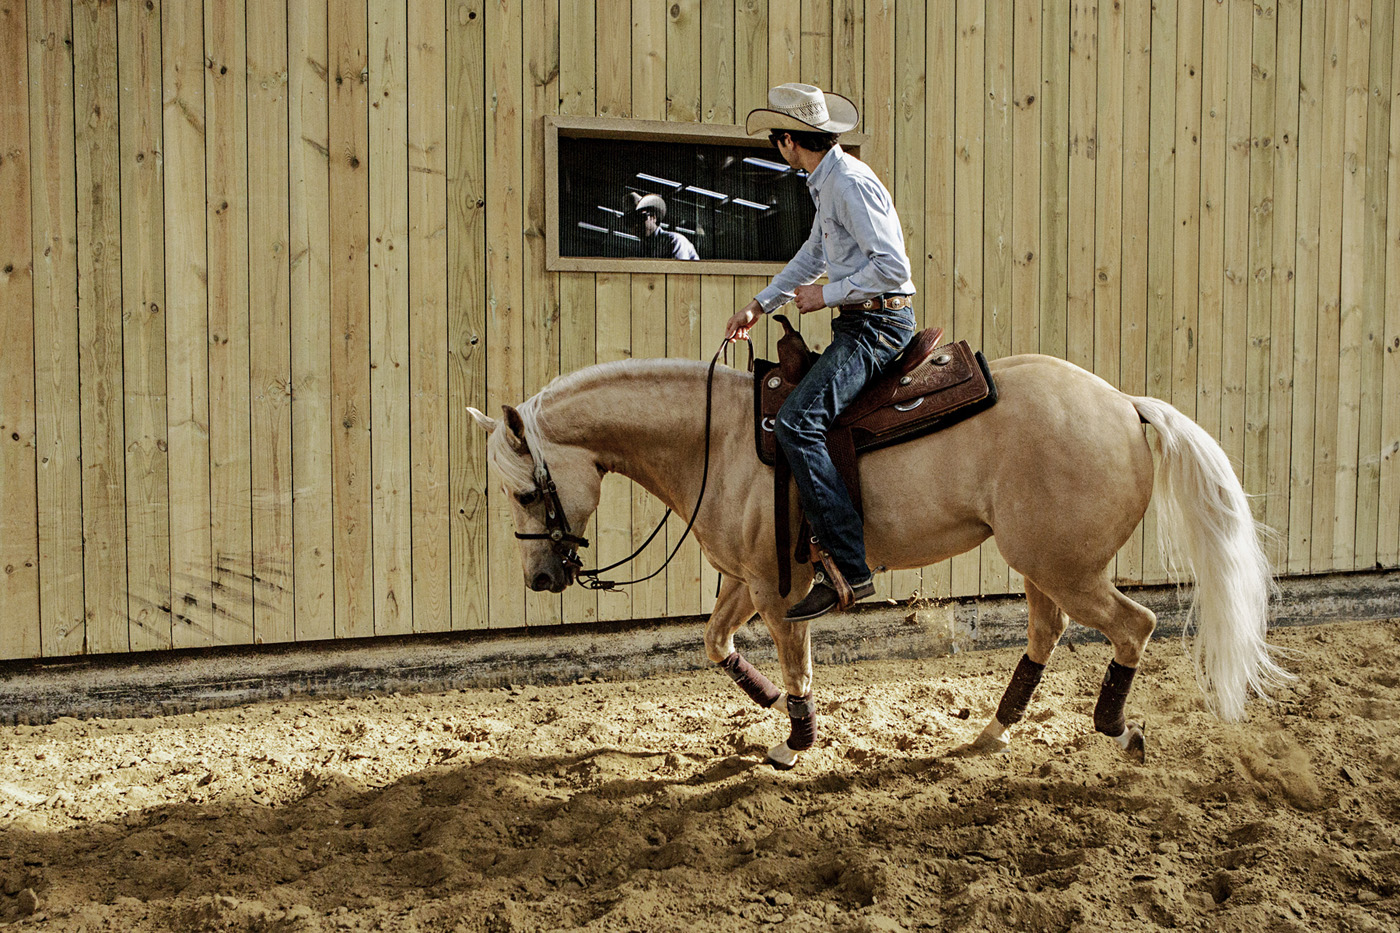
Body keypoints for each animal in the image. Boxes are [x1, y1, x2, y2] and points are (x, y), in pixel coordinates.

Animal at [470, 353, 1288, 767]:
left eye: (524, 491)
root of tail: (1126, 404)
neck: (716, 440)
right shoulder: (744, 577)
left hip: (1066, 567)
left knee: (1135, 625)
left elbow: (797, 660)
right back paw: (993, 732)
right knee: (1047, 633)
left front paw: (795, 742)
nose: (541, 578)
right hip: (1043, 565)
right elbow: (714, 641)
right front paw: (763, 702)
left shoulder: (776, 584)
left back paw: (1116, 727)